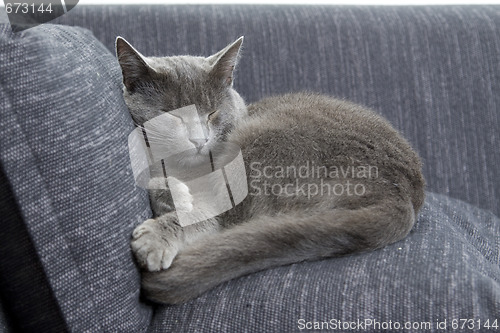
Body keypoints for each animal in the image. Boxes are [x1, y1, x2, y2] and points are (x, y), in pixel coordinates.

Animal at [115, 36, 424, 304]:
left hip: (257, 142)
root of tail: (401, 193)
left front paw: (155, 239)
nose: (200, 140)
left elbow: (203, 215)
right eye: (174, 116)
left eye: (212, 113)